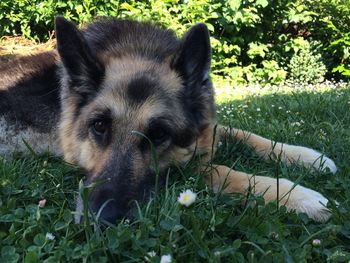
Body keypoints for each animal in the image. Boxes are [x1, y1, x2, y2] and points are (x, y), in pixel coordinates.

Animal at [1, 16, 338, 224]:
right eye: (99, 126)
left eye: (159, 134)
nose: (102, 220)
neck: (138, 51)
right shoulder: (188, 168)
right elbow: (221, 170)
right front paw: (298, 196)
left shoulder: (208, 126)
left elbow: (244, 133)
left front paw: (308, 157)